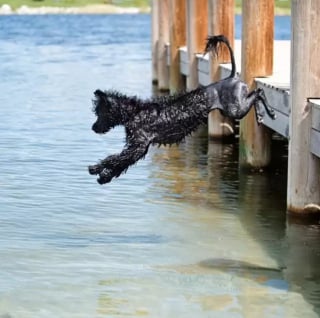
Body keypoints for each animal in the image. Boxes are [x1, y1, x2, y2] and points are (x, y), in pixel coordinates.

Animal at [89, 34, 276, 184]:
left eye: (99, 113)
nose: (93, 127)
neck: (135, 113)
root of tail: (231, 77)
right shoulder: (138, 148)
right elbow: (119, 162)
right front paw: (101, 174)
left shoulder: (139, 146)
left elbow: (116, 160)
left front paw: (98, 171)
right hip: (233, 108)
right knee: (255, 94)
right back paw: (261, 115)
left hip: (236, 109)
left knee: (258, 92)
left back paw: (270, 113)